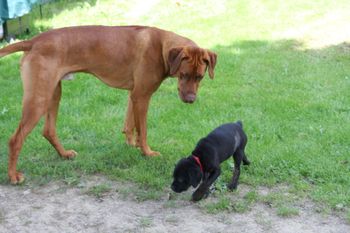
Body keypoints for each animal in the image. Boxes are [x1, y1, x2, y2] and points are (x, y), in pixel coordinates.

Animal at [0, 25, 217, 184]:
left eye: (200, 77)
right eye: (183, 75)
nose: (190, 100)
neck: (161, 45)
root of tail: (34, 41)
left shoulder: (134, 95)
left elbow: (130, 125)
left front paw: (132, 144)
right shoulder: (142, 96)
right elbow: (143, 129)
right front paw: (146, 152)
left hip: (54, 93)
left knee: (48, 130)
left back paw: (64, 154)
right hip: (39, 98)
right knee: (15, 139)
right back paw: (13, 176)